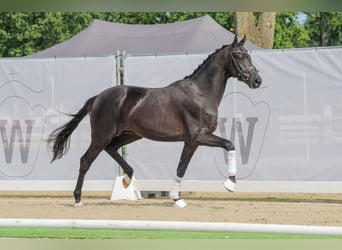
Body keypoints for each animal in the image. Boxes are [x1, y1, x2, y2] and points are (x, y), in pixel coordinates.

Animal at [47, 35, 262, 207]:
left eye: (248, 55)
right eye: (239, 55)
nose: (257, 80)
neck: (201, 93)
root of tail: (98, 97)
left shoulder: (191, 142)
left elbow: (181, 167)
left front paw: (177, 199)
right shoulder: (199, 136)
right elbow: (229, 144)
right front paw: (230, 184)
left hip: (130, 135)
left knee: (112, 149)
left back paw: (127, 179)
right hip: (102, 135)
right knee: (86, 160)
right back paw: (78, 199)